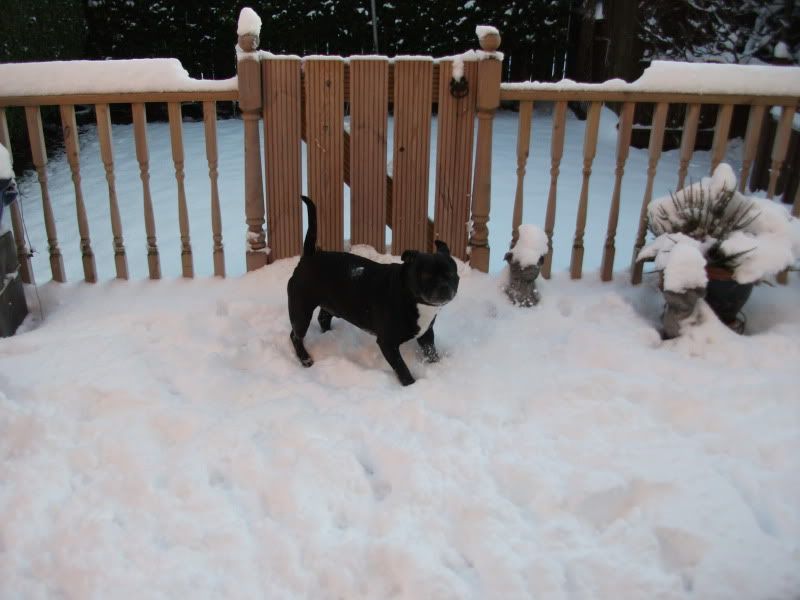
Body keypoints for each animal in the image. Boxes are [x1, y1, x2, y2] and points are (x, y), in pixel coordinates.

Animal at [290, 195, 460, 386]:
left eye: (451, 273)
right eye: (426, 275)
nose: (444, 287)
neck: (410, 297)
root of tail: (309, 256)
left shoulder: (426, 334)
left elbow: (432, 353)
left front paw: (438, 367)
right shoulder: (388, 343)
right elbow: (401, 367)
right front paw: (410, 384)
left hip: (330, 303)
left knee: (323, 318)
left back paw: (329, 334)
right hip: (300, 312)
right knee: (295, 336)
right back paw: (305, 358)